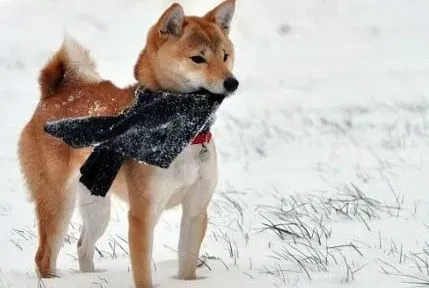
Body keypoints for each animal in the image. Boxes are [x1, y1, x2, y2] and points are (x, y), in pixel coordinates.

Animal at [17, 1, 237, 286]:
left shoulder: (195, 211)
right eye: (198, 59)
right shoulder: (143, 214)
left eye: (225, 56)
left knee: (83, 248)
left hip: (97, 205)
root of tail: (53, 95)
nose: (232, 82)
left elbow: (187, 265)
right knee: (44, 257)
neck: (183, 134)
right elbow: (142, 271)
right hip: (58, 203)